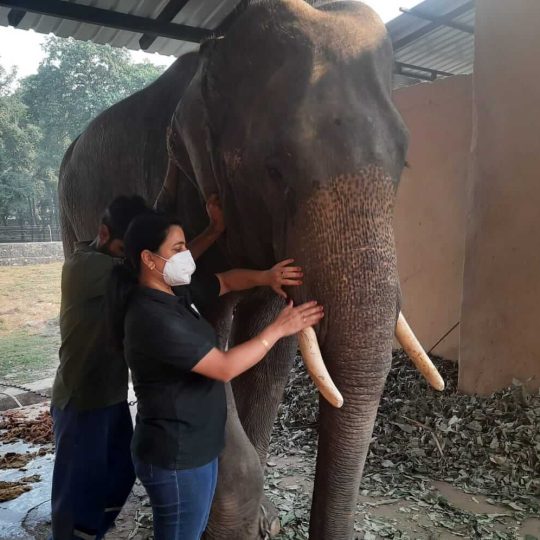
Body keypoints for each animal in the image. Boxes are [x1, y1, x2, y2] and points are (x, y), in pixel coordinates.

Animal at [57, 1, 408, 540]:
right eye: (275, 169)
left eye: (404, 163)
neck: (213, 53)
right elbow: (208, 353)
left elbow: (268, 356)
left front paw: (261, 523)